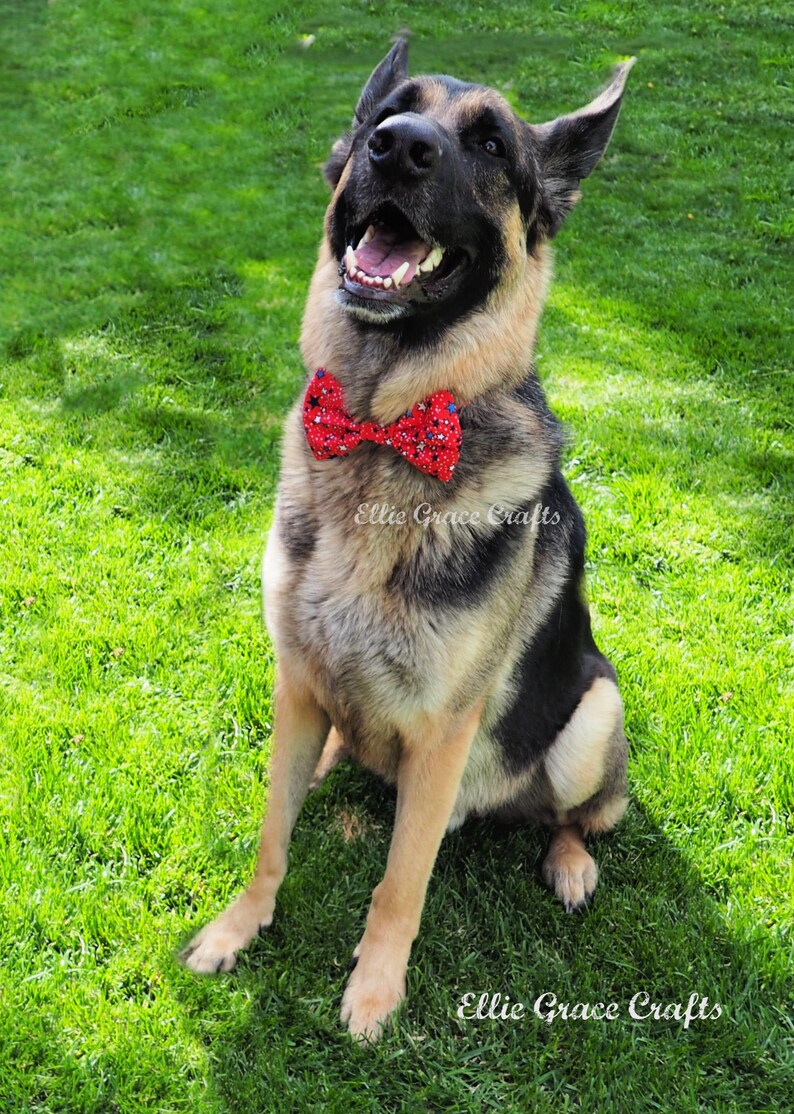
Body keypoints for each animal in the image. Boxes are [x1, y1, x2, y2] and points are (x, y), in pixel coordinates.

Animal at [182, 39, 636, 1038]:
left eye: (493, 144)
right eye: (386, 117)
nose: (398, 147)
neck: (378, 427)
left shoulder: (443, 735)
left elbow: (400, 882)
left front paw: (374, 990)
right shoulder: (296, 680)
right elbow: (270, 837)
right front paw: (239, 928)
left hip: (593, 716)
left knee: (576, 814)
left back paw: (570, 860)